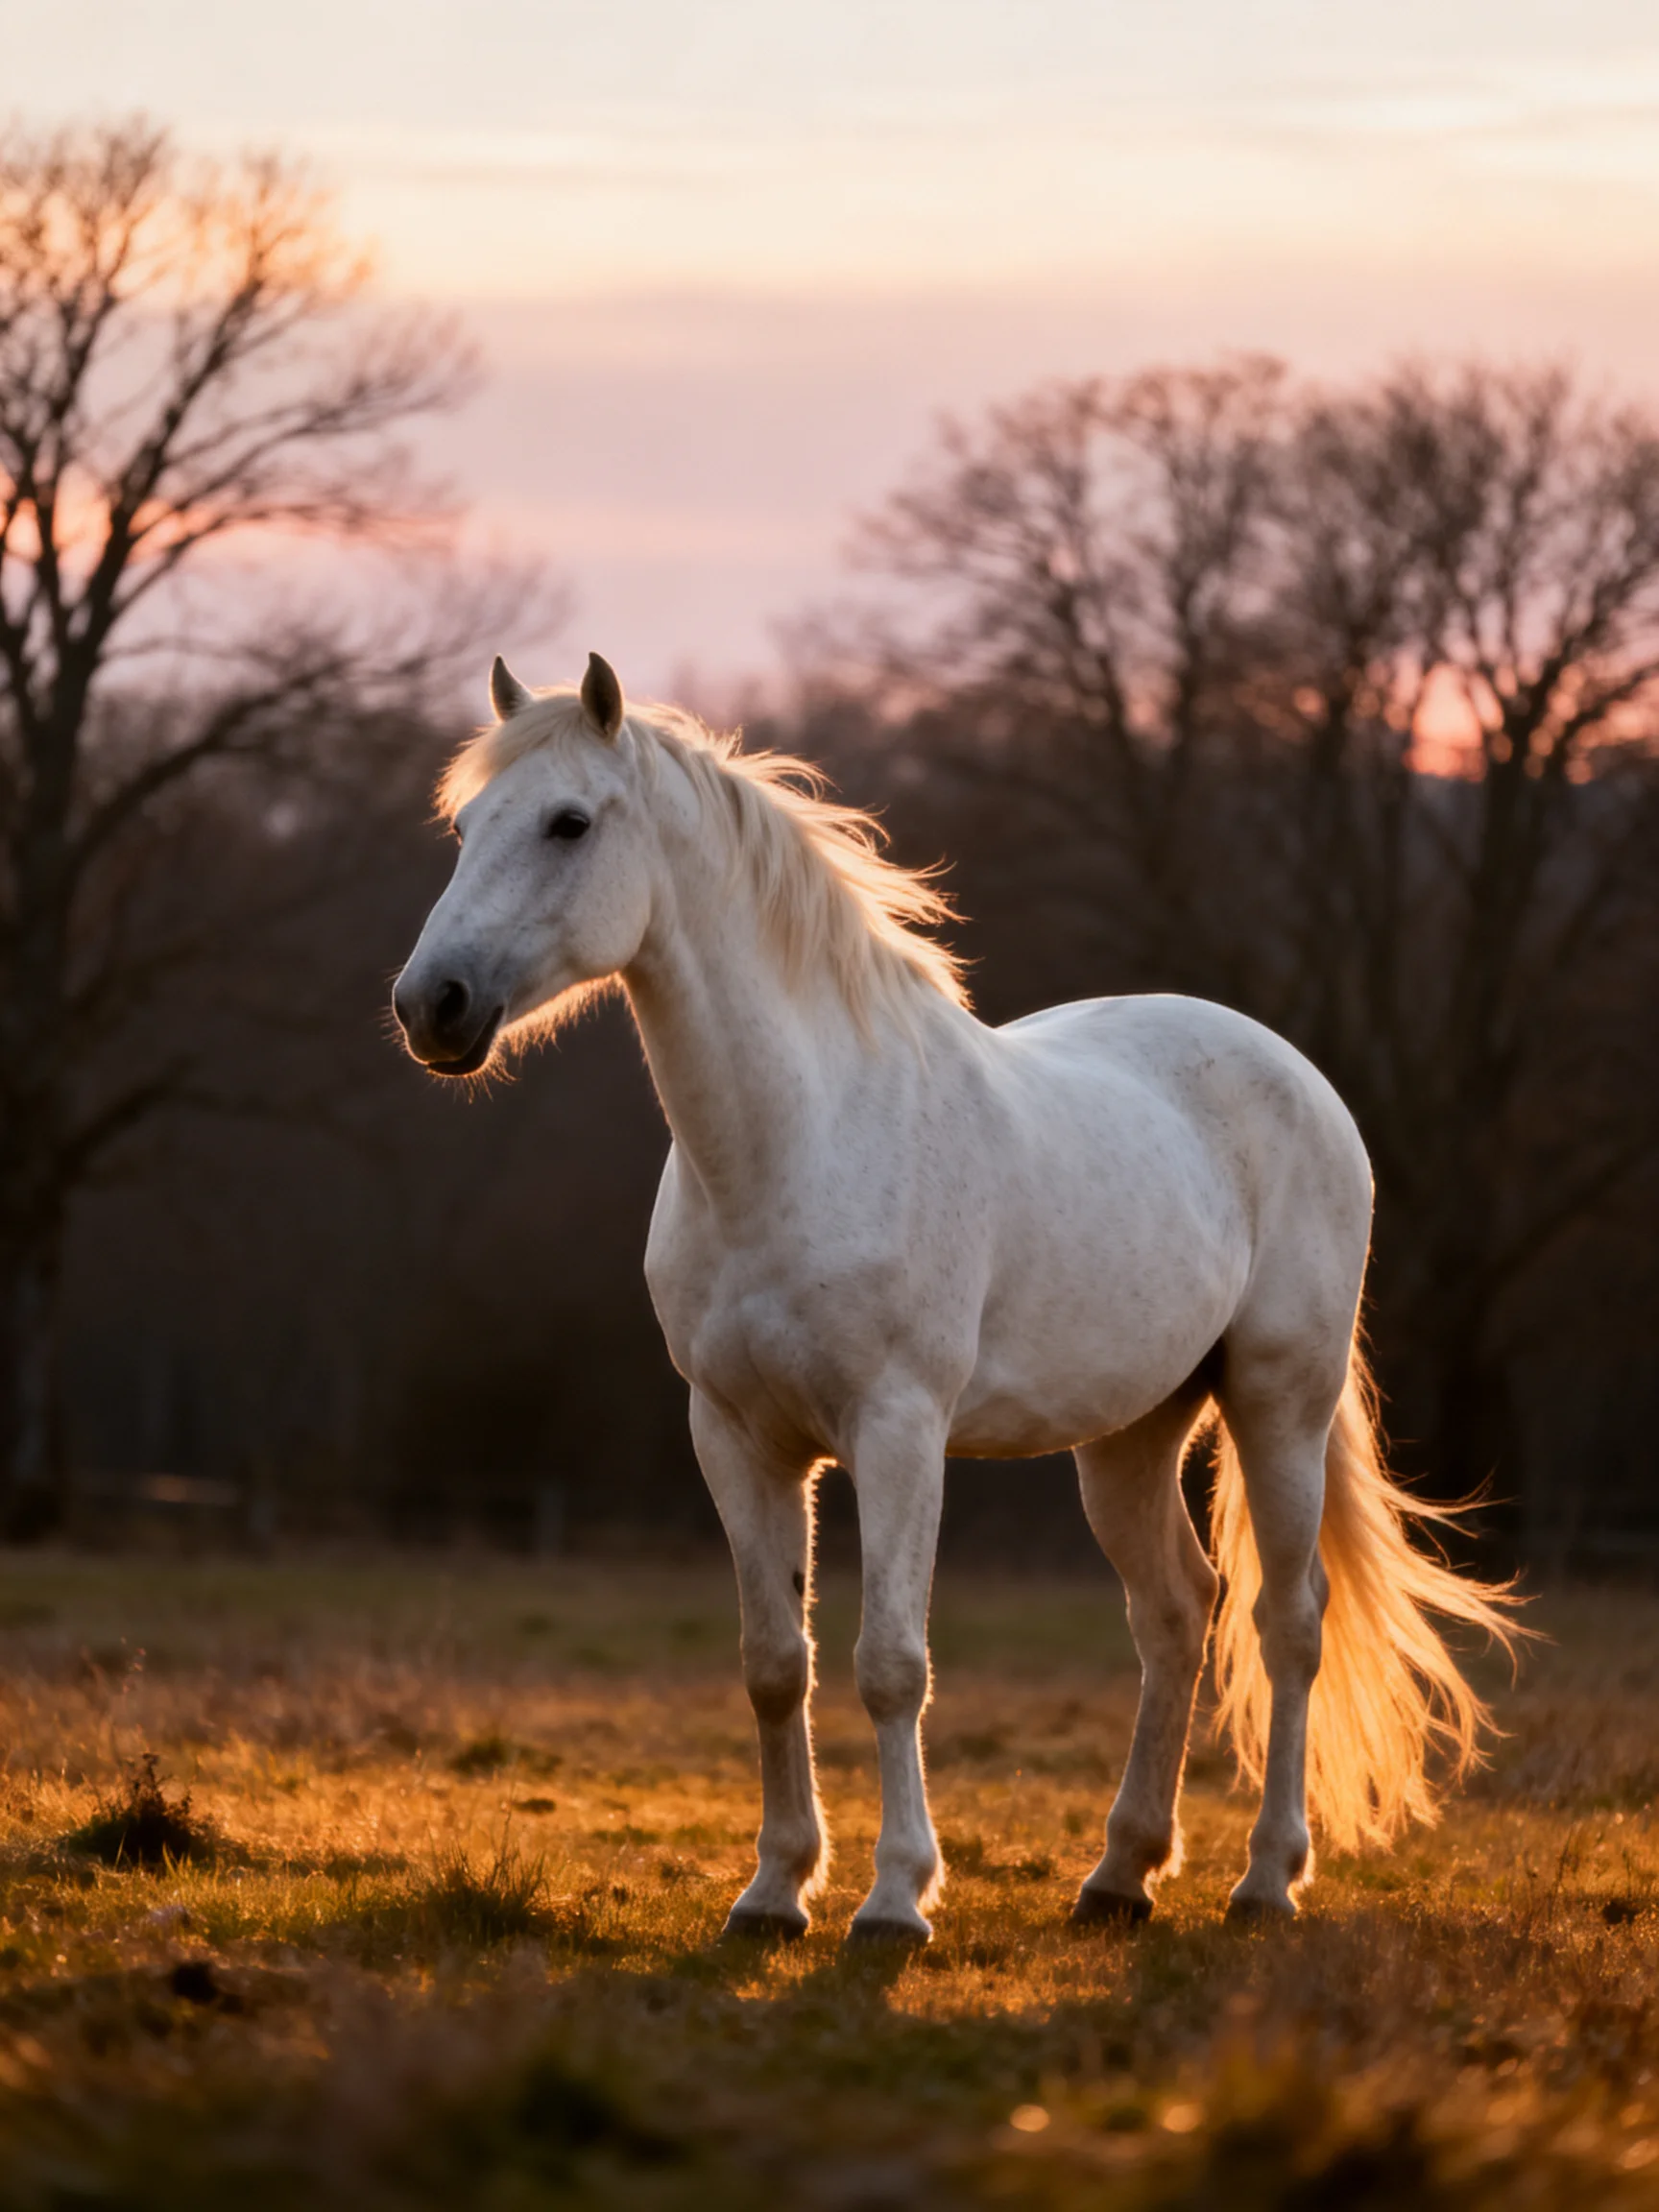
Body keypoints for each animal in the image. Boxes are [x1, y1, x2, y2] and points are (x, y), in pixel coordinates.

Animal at [392, 651, 1518, 1944]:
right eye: (467, 825)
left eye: (570, 822)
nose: (432, 1005)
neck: (795, 1141)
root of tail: (1298, 1075)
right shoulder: (736, 1437)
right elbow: (775, 1662)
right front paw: (774, 1892)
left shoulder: (897, 1430)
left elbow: (892, 1663)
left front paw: (894, 1899)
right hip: (1132, 1435)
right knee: (1176, 1613)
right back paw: (1120, 1876)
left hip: (1279, 1403)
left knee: (1287, 1621)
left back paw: (1267, 1879)